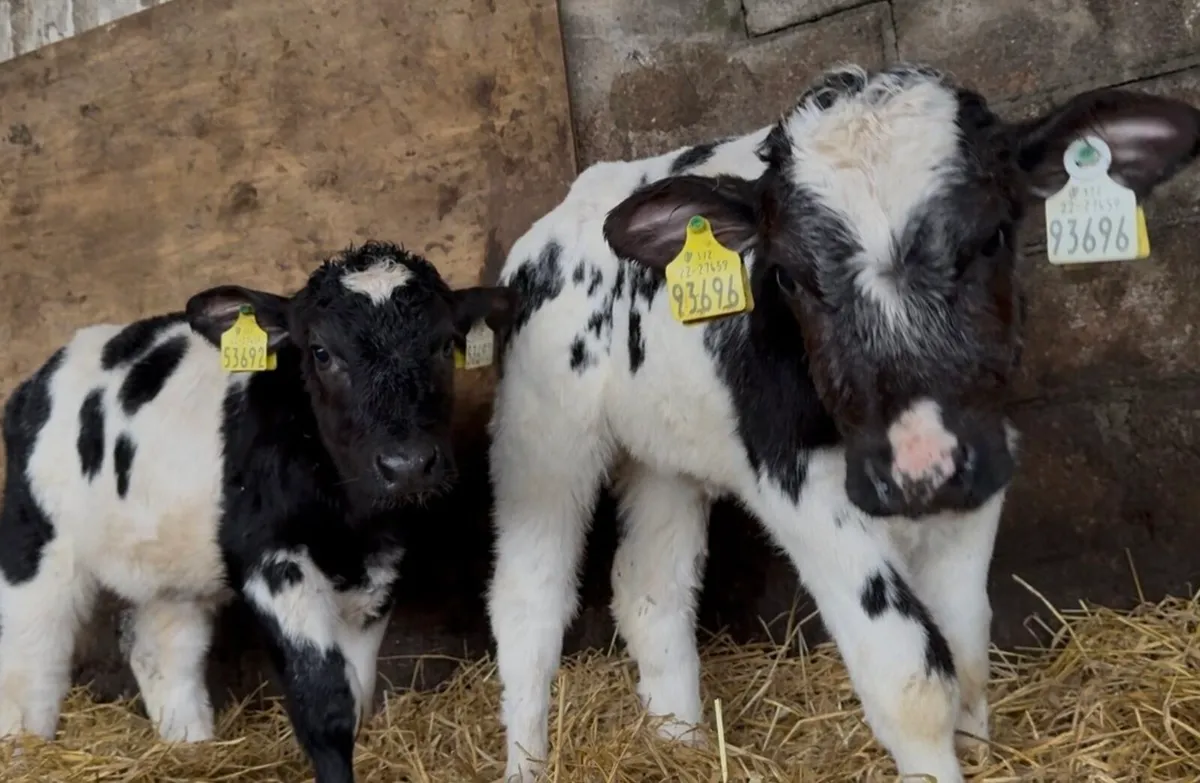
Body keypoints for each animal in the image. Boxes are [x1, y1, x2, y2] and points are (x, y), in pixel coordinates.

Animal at [0, 241, 516, 783]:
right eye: (321, 351)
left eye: (443, 346)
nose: (408, 465)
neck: (344, 523)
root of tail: (47, 372)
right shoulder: (275, 562)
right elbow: (326, 704)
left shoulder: (378, 571)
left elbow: (356, 696)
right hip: (35, 538)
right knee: (30, 661)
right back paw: (25, 753)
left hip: (168, 566)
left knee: (161, 651)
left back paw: (191, 747)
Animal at [484, 63, 1200, 783]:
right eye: (790, 278)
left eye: (994, 236)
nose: (916, 467)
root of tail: (574, 202)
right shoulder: (797, 485)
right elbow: (909, 675)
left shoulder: (979, 466)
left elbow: (967, 646)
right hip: (542, 437)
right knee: (528, 602)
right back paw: (529, 762)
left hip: (665, 454)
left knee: (651, 588)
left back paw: (682, 746)